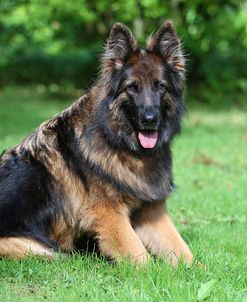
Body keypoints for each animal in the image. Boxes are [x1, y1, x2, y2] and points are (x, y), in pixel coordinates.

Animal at [0, 21, 193, 266]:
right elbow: (142, 257)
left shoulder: (151, 213)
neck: (121, 142)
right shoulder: (110, 215)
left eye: (160, 86)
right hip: (39, 249)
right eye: (132, 87)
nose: (150, 120)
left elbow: (185, 253)